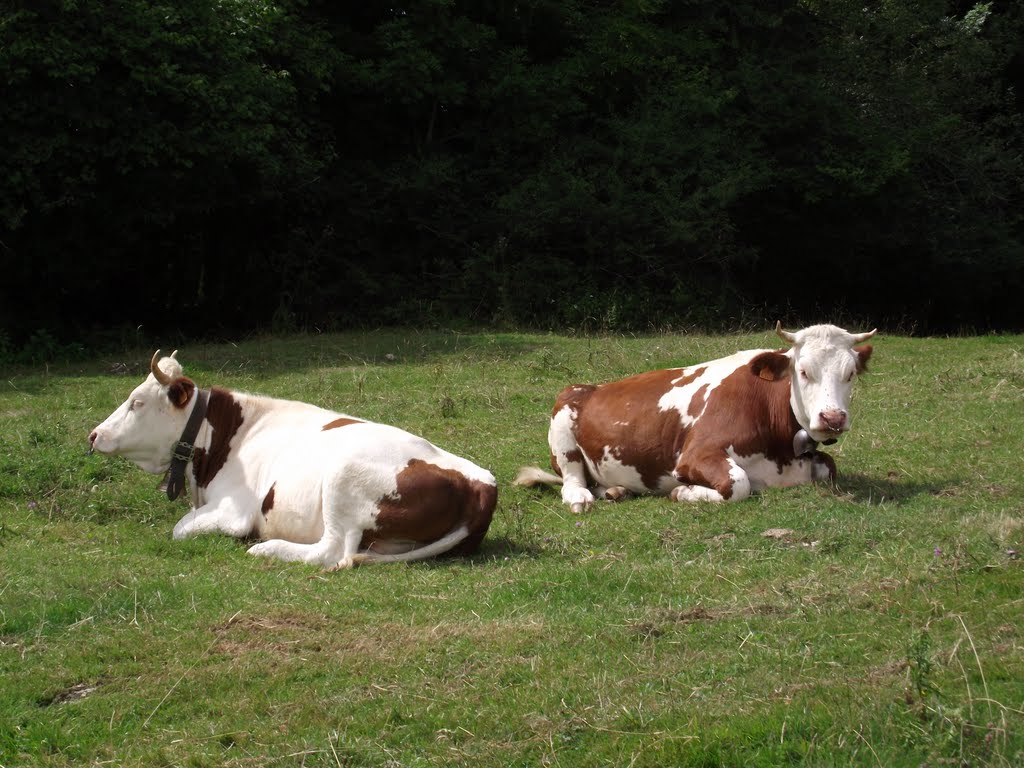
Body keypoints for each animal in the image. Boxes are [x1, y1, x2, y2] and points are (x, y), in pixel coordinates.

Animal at [90, 352, 497, 569]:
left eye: (137, 402)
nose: (94, 434)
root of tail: (481, 484)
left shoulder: (234, 510)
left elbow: (179, 529)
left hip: (342, 479)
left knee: (332, 551)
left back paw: (267, 548)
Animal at [516, 323, 876, 512]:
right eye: (803, 371)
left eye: (850, 374)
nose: (832, 418)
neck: (781, 451)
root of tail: (591, 386)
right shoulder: (695, 454)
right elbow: (738, 483)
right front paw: (683, 492)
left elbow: (829, 467)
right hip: (563, 423)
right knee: (573, 480)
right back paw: (582, 497)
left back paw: (616, 490)